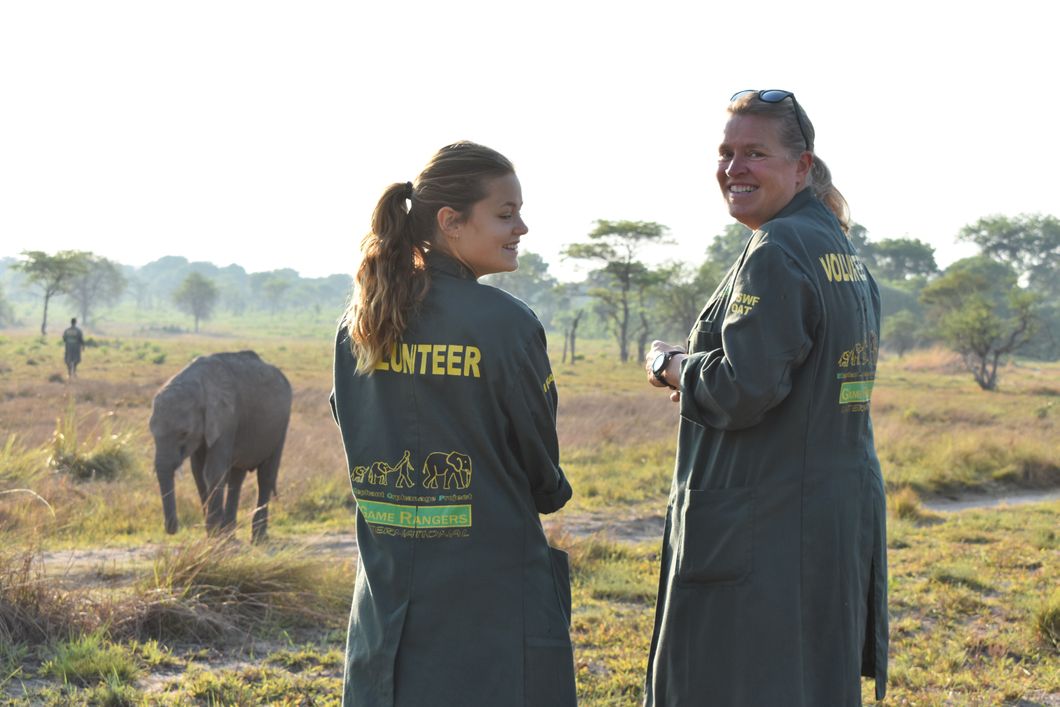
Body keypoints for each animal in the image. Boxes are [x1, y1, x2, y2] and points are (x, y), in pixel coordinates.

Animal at [149, 350, 292, 543]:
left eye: (184, 433)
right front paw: (213, 535)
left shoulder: (225, 419)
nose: (173, 529)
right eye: (152, 432)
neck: (197, 385)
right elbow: (198, 472)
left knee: (266, 476)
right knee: (236, 478)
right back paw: (230, 534)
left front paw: (215, 533)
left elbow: (212, 471)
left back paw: (258, 538)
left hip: (281, 427)